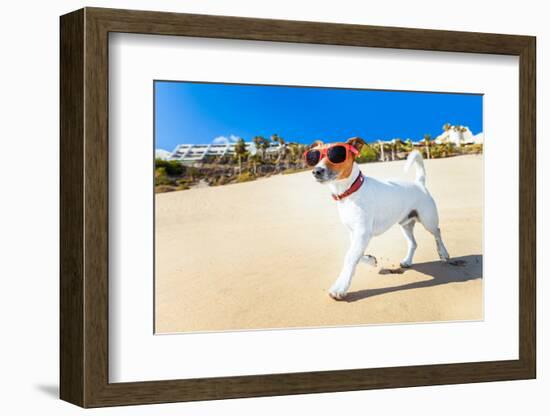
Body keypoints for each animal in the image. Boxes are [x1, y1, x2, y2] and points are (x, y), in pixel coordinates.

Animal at [304, 138, 450, 300]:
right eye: (314, 157)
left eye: (336, 154)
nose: (316, 171)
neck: (349, 192)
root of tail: (419, 183)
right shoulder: (355, 233)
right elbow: (355, 254)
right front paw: (370, 259)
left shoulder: (363, 232)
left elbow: (350, 256)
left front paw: (340, 287)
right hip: (405, 224)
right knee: (414, 243)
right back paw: (407, 261)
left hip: (428, 220)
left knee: (437, 233)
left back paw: (443, 253)